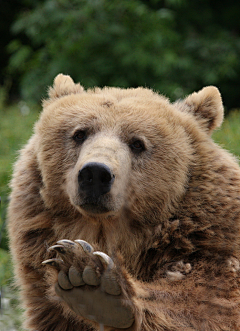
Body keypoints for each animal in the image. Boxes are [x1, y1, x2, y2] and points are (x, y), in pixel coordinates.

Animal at [7, 74, 240, 330]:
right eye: (80, 133)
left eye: (137, 143)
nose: (95, 173)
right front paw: (81, 274)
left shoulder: (209, 242)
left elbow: (205, 302)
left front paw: (91, 279)